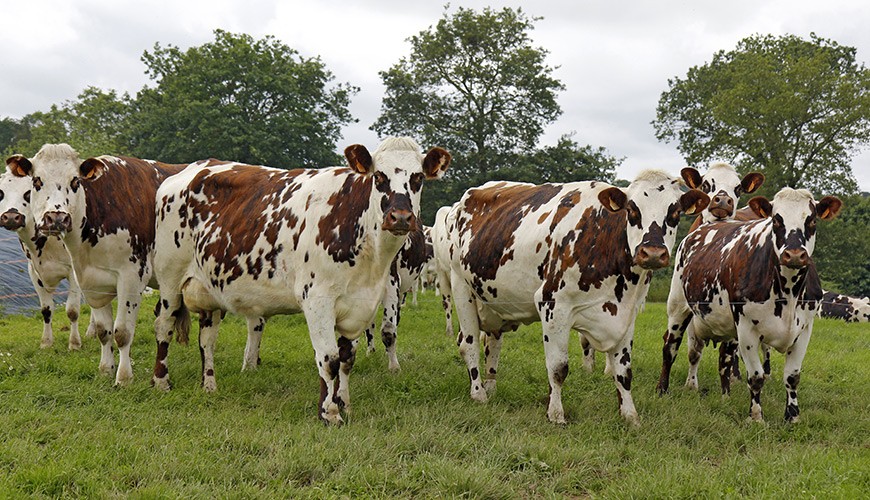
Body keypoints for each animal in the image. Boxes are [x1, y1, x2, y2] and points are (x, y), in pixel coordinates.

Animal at [0, 170, 92, 349]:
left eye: (28, 193)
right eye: (0, 193)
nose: (12, 217)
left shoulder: (74, 272)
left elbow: (72, 310)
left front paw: (74, 343)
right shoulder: (34, 271)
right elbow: (46, 309)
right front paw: (46, 342)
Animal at [444, 170, 710, 425]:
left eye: (674, 212)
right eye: (632, 210)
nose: (653, 252)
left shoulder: (627, 313)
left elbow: (624, 372)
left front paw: (630, 416)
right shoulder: (553, 305)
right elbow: (558, 368)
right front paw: (556, 414)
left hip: (494, 302)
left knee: (493, 343)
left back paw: (490, 387)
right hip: (461, 288)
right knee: (468, 344)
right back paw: (478, 393)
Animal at [657, 188, 841, 422]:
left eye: (812, 220)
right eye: (776, 220)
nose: (794, 254)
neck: (788, 292)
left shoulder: (804, 330)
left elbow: (792, 377)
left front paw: (792, 417)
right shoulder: (747, 330)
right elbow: (756, 377)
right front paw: (756, 417)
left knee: (723, 359)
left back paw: (725, 396)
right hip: (678, 306)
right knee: (671, 347)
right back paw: (663, 389)